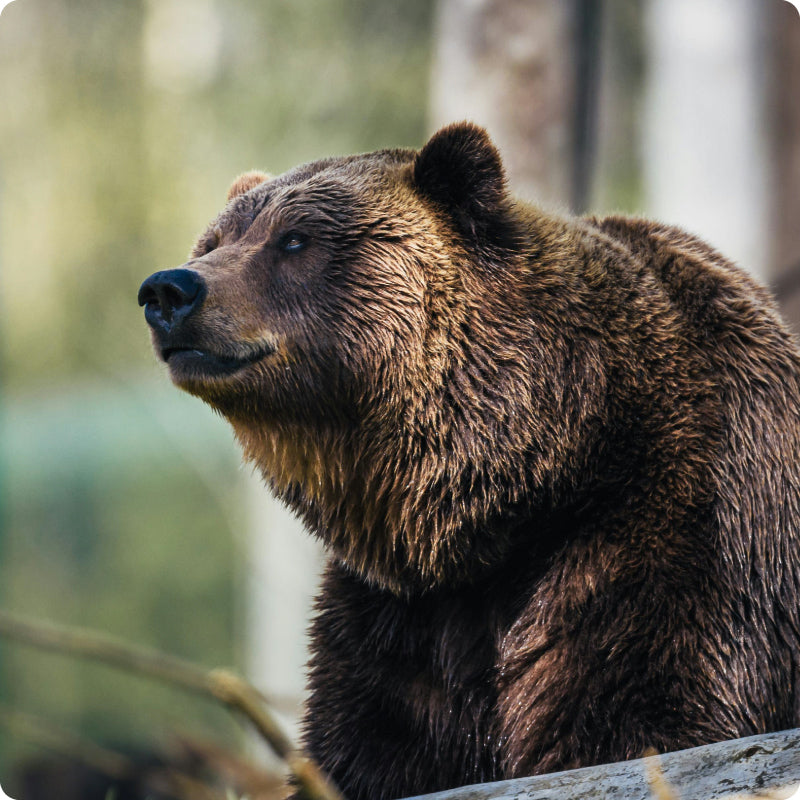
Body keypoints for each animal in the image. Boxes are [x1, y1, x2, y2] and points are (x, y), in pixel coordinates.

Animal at [138, 123, 800, 800]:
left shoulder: (677, 534)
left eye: (294, 239)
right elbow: (368, 746)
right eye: (214, 241)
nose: (170, 289)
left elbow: (638, 713)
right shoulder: (401, 622)